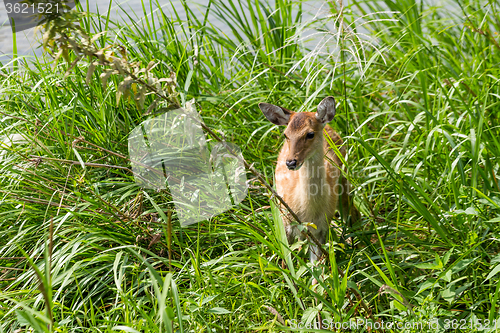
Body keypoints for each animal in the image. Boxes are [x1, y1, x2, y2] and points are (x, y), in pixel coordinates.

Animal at [258, 96, 360, 262]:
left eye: (310, 134)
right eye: (286, 135)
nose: (291, 162)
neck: (308, 212)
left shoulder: (321, 229)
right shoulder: (286, 223)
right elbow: (286, 262)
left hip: (344, 182)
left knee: (353, 215)